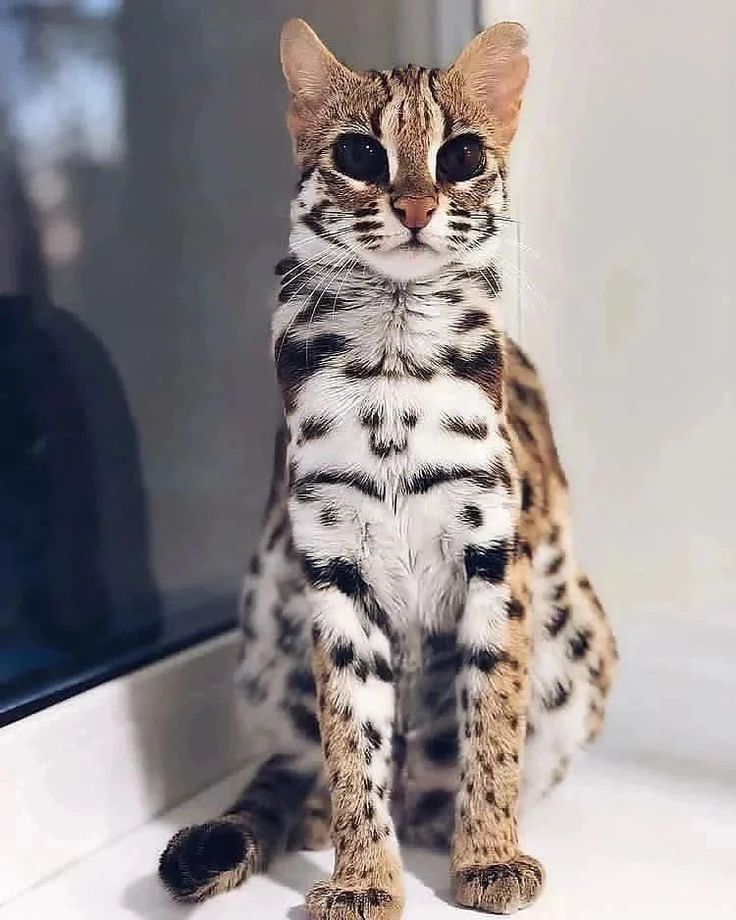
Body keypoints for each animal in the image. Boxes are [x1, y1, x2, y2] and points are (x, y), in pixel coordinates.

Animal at [158, 18, 620, 916]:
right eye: (360, 154)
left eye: (462, 155)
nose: (414, 206)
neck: (395, 354)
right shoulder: (333, 560)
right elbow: (350, 734)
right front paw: (363, 873)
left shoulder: (494, 550)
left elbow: (493, 714)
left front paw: (487, 856)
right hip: (266, 620)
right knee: (306, 763)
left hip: (579, 624)